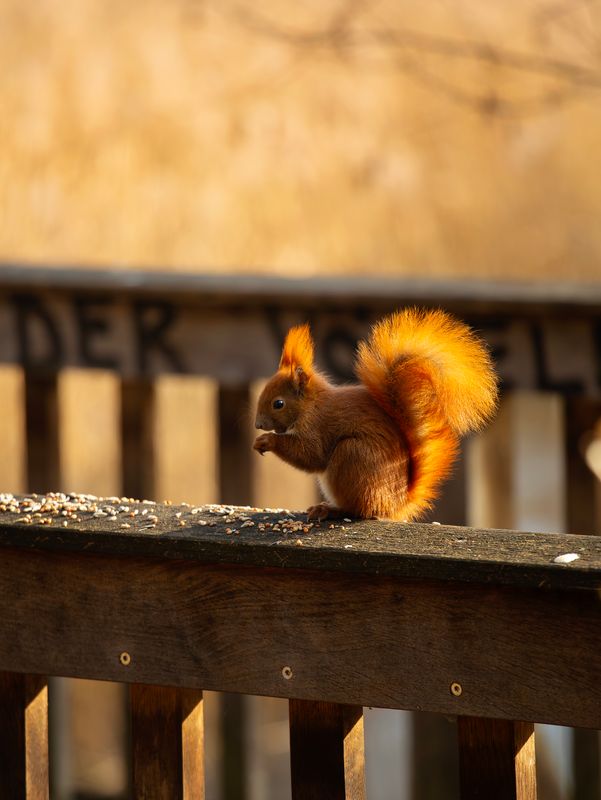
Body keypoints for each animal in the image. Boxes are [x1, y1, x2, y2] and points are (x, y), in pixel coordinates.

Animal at [253, 308, 498, 522]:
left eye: (278, 403)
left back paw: (330, 510)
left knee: (359, 510)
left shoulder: (318, 426)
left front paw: (267, 441)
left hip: (352, 456)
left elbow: (311, 454)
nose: (258, 425)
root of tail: (396, 503)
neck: (310, 406)